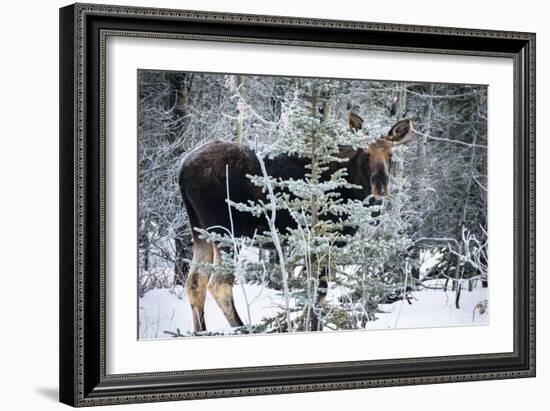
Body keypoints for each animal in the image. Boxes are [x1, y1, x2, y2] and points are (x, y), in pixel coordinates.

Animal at [179, 114, 416, 334]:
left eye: (391, 154)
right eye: (365, 153)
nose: (381, 187)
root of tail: (181, 171)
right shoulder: (323, 238)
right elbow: (319, 294)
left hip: (200, 231)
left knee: (195, 282)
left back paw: (201, 331)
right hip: (226, 231)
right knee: (219, 283)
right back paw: (243, 328)